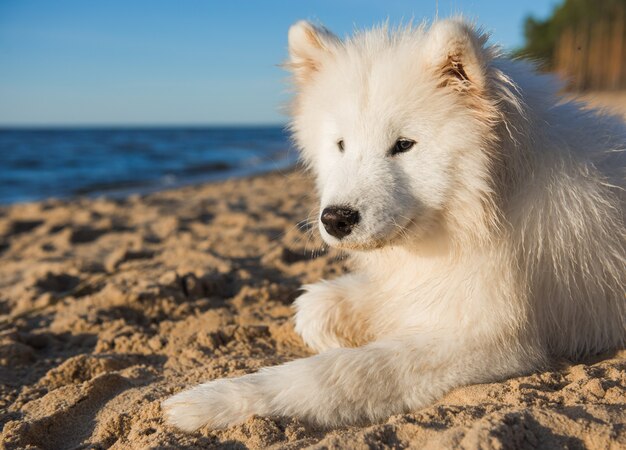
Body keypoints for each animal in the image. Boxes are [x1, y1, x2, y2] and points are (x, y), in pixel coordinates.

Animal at [162, 18, 624, 432]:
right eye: (341, 144)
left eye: (403, 145)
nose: (336, 219)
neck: (491, 200)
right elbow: (316, 308)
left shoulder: (493, 336)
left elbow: (343, 373)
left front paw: (209, 402)